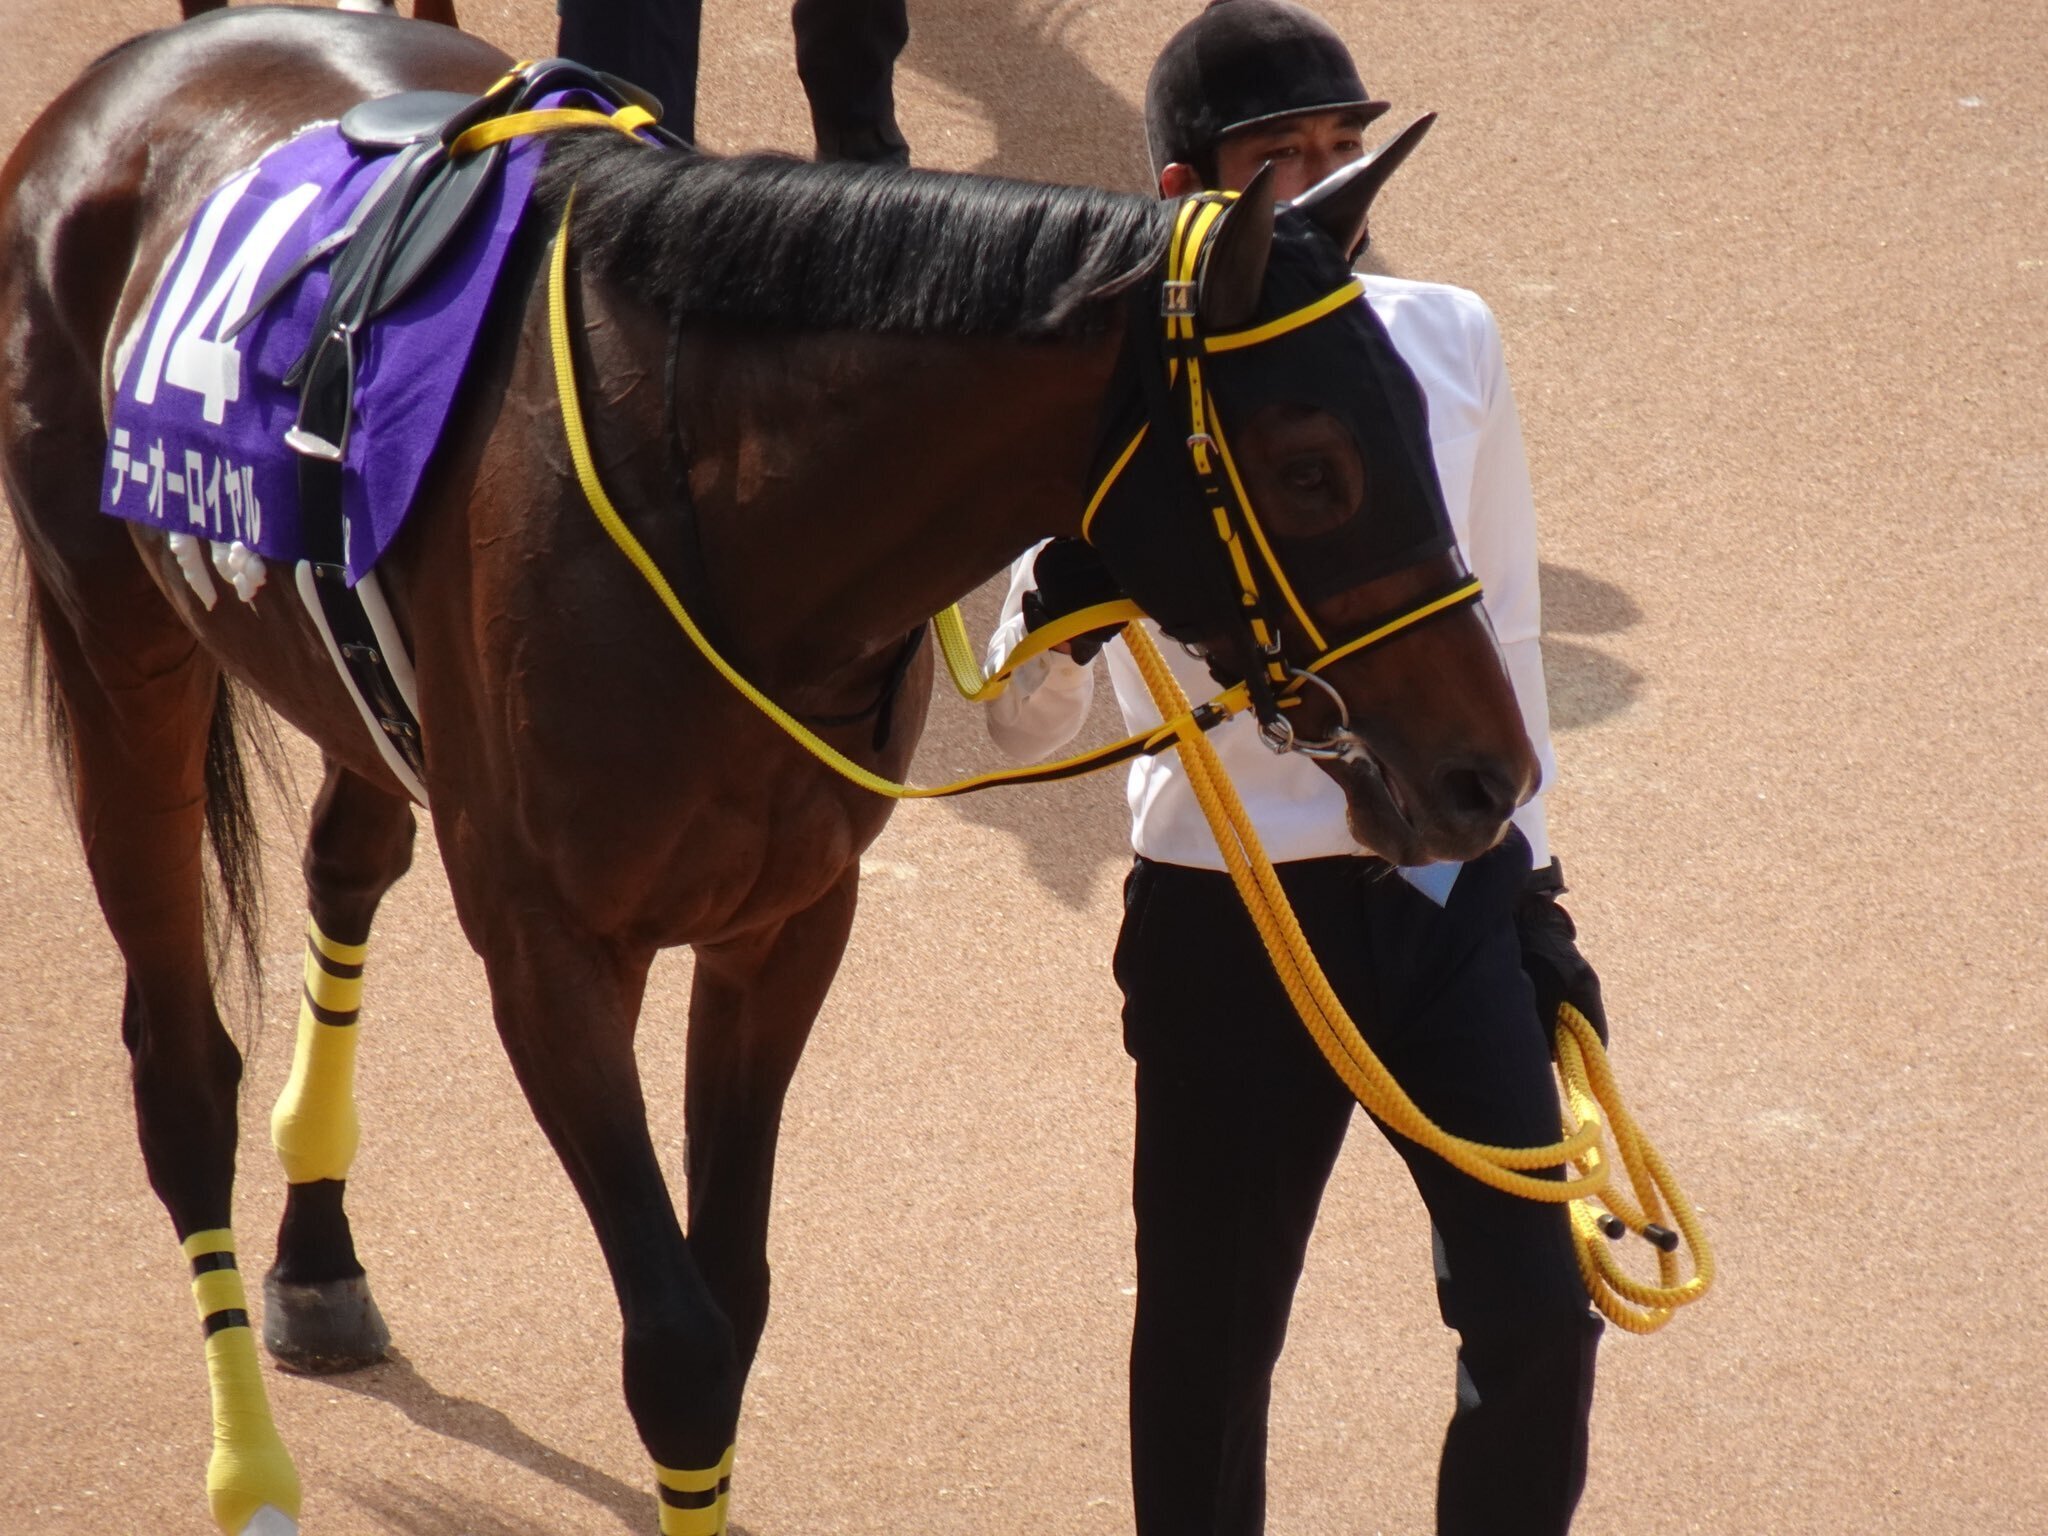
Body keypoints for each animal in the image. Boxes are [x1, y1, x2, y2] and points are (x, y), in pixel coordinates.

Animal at [0, 7, 1537, 1533]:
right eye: (1313, 463)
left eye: (1426, 416)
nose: (1489, 774)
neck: (717, 511)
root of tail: (147, 66)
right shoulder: (552, 951)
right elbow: (677, 1345)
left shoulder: (784, 921)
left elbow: (729, 1303)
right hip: (119, 647)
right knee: (177, 1065)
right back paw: (251, 1471)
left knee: (346, 865)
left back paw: (318, 1256)